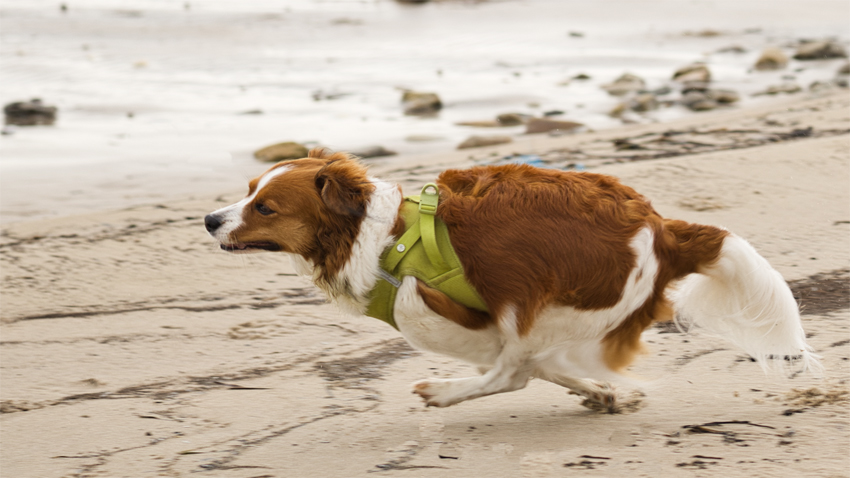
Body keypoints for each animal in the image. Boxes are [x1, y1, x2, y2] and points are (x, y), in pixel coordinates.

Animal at [204, 149, 816, 410]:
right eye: (250, 189)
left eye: (265, 208)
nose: (210, 219)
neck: (378, 238)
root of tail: (663, 230)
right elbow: (539, 367)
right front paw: (600, 390)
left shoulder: (451, 312)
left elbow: (508, 366)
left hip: (538, 300)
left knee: (511, 375)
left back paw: (445, 392)